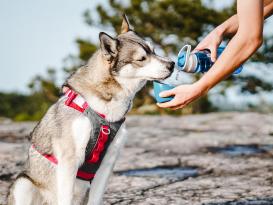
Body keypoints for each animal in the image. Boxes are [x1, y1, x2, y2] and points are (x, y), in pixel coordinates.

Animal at [8, 14, 174, 205]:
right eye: (141, 59)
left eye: (154, 51)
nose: (172, 64)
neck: (104, 113)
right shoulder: (69, 160)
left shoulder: (106, 165)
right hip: (23, 183)